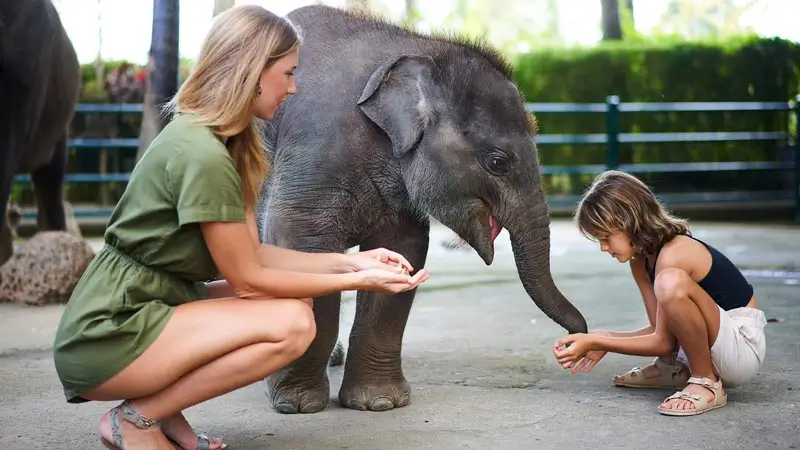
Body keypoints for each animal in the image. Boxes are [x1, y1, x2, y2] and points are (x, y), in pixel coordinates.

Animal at [255, 5, 589, 414]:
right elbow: (302, 246)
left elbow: (404, 250)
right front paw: (297, 404)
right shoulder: (316, 149)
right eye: (498, 162)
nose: (573, 343)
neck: (421, 48)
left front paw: (380, 403)